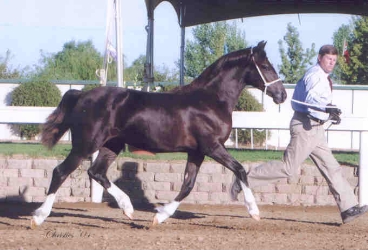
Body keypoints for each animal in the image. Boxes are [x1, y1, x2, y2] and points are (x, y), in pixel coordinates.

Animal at [30, 40, 286, 227]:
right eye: (265, 66)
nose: (282, 95)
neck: (210, 100)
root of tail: (81, 95)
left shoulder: (196, 152)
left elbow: (187, 185)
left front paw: (160, 215)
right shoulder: (212, 147)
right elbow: (240, 169)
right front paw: (254, 211)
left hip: (111, 145)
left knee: (96, 172)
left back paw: (128, 209)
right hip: (85, 144)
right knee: (61, 172)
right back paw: (39, 216)